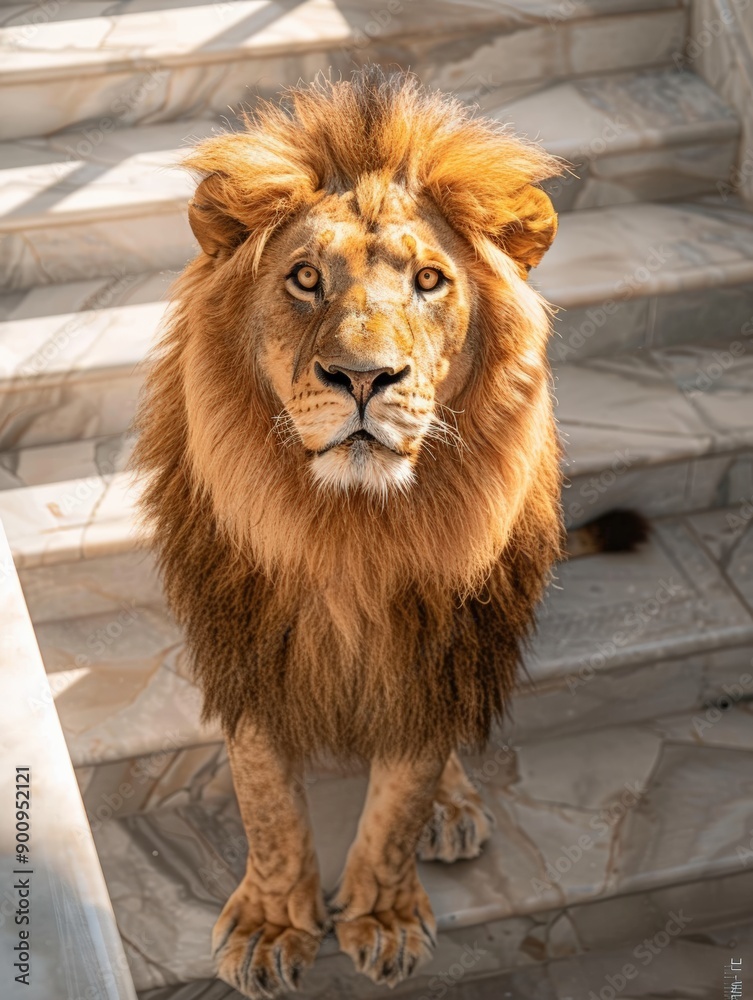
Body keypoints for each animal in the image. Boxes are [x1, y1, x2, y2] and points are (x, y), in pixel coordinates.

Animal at [132, 68, 642, 997]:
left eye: (430, 282)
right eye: (303, 277)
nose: (364, 377)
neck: (350, 530)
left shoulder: (442, 639)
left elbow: (403, 790)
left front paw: (385, 912)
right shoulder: (246, 635)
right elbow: (265, 793)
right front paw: (273, 922)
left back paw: (456, 806)